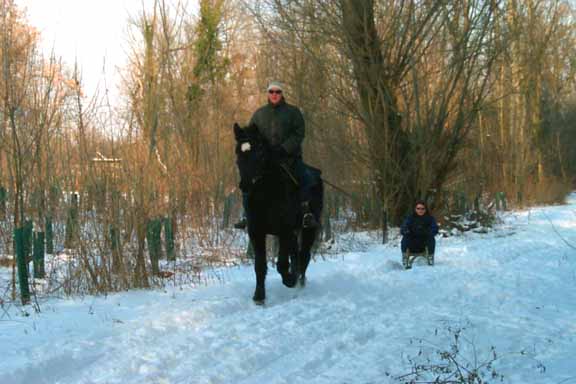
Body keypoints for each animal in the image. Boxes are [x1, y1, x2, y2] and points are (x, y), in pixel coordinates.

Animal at [234, 124, 324, 304]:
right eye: (238, 153)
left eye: (260, 154)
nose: (245, 185)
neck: (266, 195)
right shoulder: (256, 232)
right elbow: (260, 265)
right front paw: (259, 296)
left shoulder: (284, 231)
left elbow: (282, 263)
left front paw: (290, 280)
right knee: (296, 254)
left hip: (308, 229)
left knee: (304, 255)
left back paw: (299, 285)